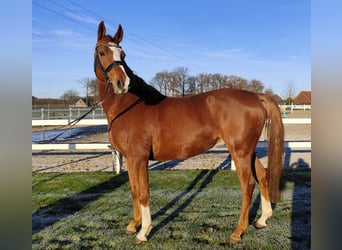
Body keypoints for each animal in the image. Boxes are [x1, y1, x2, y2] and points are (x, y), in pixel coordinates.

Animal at [93, 21, 284, 244]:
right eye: (103, 52)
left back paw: (237, 232)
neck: (130, 106)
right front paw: (133, 225)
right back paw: (262, 219)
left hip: (240, 152)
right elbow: (133, 190)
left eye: (122, 54)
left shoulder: (138, 158)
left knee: (248, 184)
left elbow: (143, 193)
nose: (122, 83)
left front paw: (143, 231)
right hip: (248, 150)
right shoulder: (130, 159)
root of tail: (255, 96)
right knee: (262, 176)